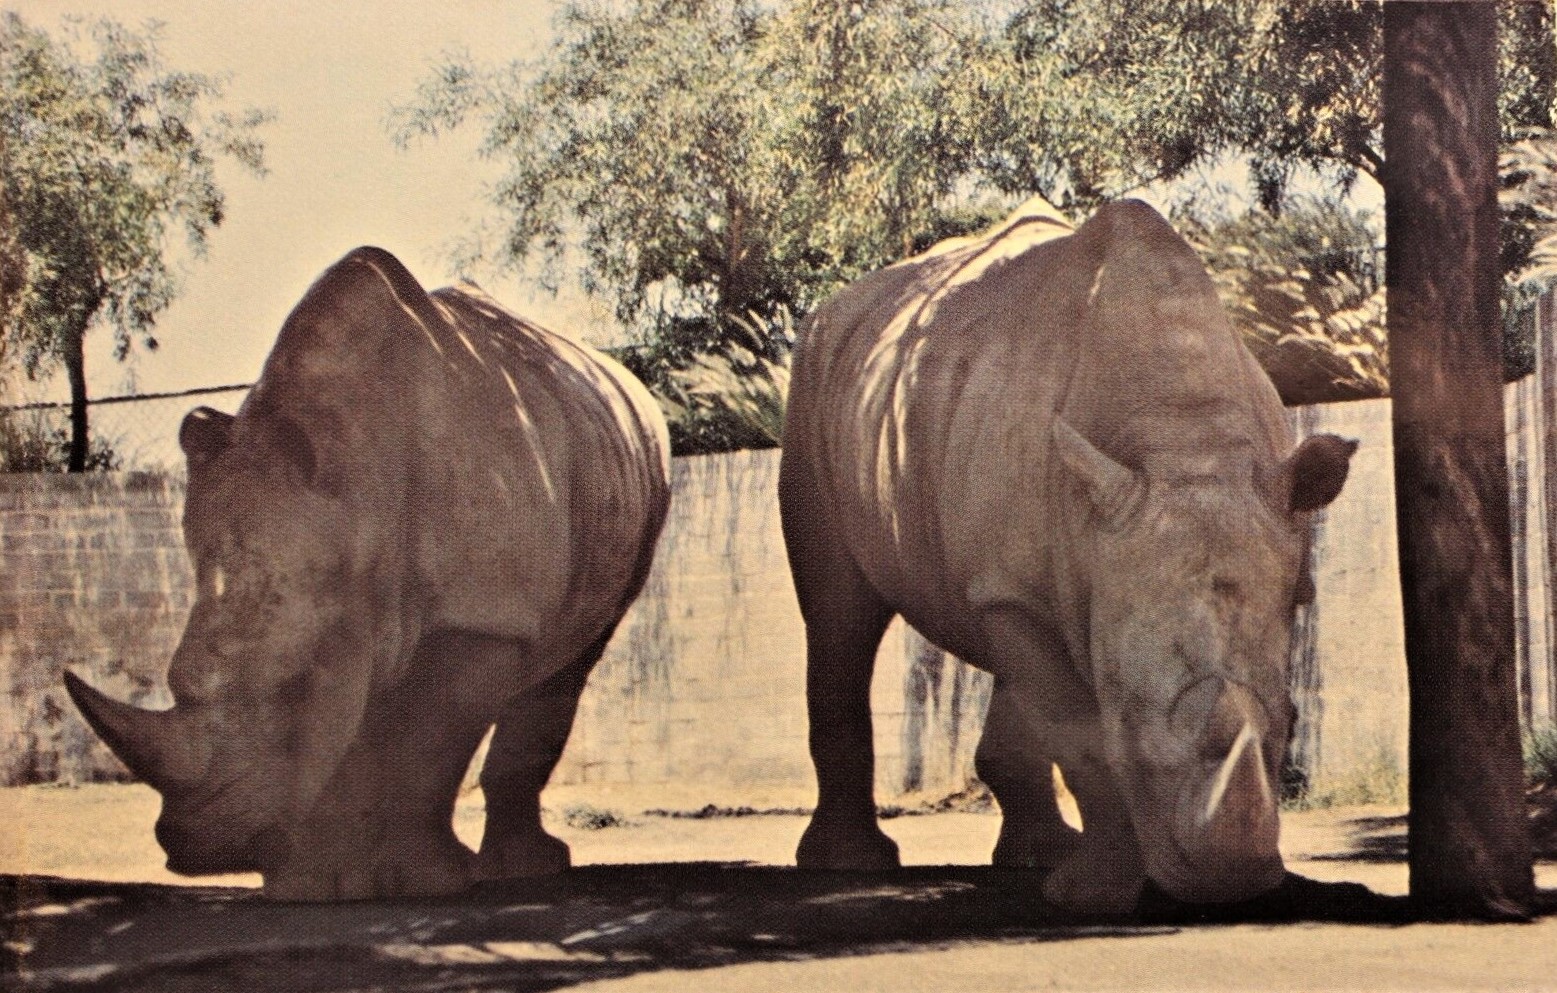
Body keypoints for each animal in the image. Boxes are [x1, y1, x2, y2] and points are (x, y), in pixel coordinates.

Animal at [66, 247, 671, 901]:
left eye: (295, 687)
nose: (195, 850)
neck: (363, 494)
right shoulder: (342, 598)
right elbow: (349, 736)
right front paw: (320, 887)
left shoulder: (479, 616)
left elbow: (431, 743)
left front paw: (428, 881)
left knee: (570, 659)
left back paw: (528, 867)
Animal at [780, 198, 1355, 913]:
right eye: (1126, 716)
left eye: (1294, 721)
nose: (1229, 882)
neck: (1182, 438)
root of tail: (838, 307)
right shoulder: (1029, 588)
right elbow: (1082, 737)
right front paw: (1095, 900)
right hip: (816, 385)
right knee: (839, 618)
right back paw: (850, 866)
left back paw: (1034, 859)